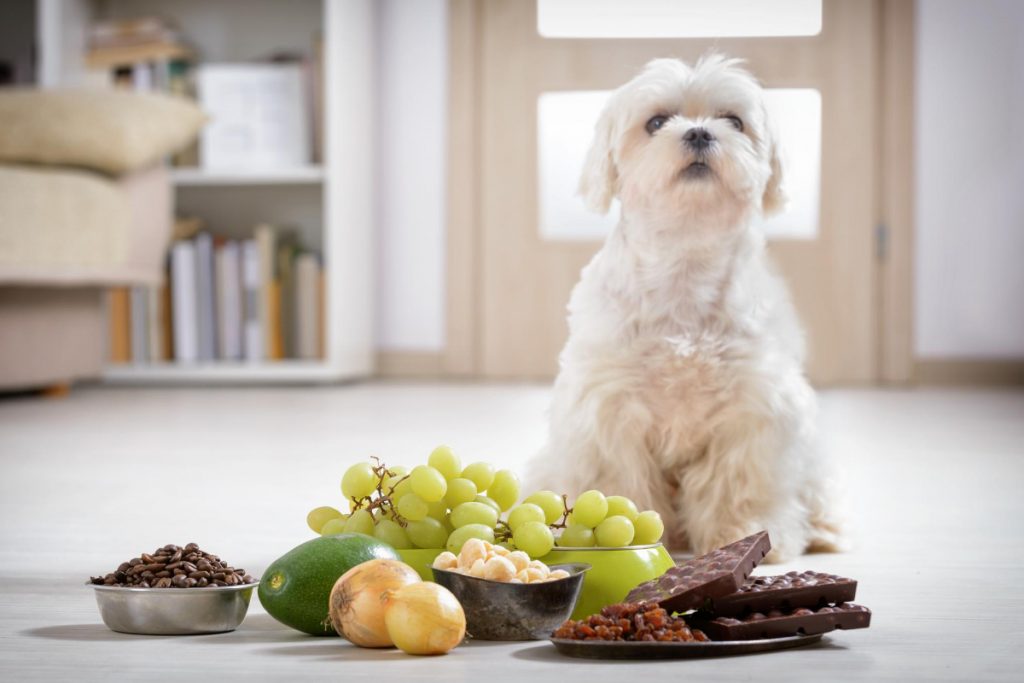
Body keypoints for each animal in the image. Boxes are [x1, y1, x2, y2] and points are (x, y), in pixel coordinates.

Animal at [532, 56, 843, 565]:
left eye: (734, 120)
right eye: (656, 122)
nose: (699, 132)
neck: (684, 264)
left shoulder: (752, 407)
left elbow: (739, 484)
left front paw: (747, 532)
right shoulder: (610, 407)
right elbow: (620, 480)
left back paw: (825, 529)